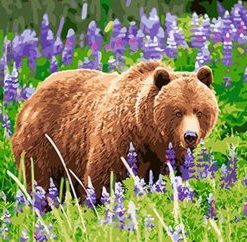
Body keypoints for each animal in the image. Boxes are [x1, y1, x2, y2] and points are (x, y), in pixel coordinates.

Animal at [11, 61, 218, 199]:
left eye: (200, 111)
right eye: (177, 112)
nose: (190, 136)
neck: (147, 133)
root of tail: (32, 96)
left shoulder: (170, 155)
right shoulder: (118, 141)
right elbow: (102, 179)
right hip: (45, 143)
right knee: (40, 180)